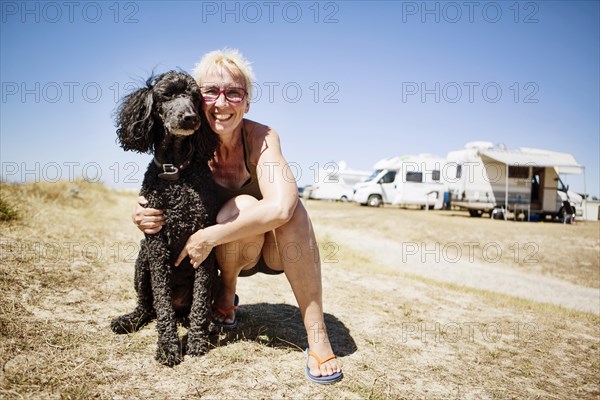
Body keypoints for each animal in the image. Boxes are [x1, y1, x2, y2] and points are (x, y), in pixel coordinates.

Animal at [110, 71, 220, 366]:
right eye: (167, 95)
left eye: (195, 97)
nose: (190, 117)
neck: (176, 173)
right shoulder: (156, 244)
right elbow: (161, 300)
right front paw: (168, 347)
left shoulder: (203, 241)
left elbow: (201, 300)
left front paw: (196, 341)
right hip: (142, 261)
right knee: (148, 307)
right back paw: (129, 320)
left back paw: (207, 325)